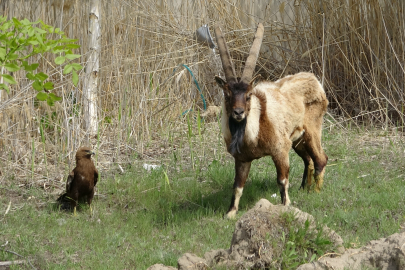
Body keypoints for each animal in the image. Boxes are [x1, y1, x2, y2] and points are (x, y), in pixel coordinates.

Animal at [215, 22, 328, 218]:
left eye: (248, 95)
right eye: (227, 95)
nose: (238, 113)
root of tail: (315, 81)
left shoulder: (280, 150)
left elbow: (282, 180)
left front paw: (286, 206)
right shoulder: (242, 159)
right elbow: (238, 186)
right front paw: (230, 213)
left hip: (312, 131)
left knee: (321, 158)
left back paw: (315, 192)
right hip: (297, 140)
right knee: (309, 160)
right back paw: (304, 188)